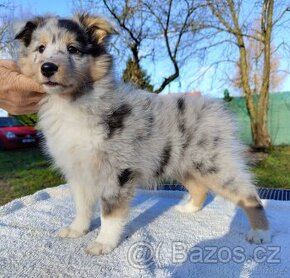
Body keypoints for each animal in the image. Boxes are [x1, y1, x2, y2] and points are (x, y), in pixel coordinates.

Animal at [14, 14, 270, 255]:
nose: (48, 68)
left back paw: (260, 232)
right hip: (183, 164)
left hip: (213, 165)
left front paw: (103, 243)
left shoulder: (116, 172)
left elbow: (109, 212)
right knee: (200, 188)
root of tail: (217, 107)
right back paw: (189, 208)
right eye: (40, 48)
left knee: (249, 194)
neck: (71, 103)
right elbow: (82, 206)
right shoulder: (77, 169)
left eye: (73, 49)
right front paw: (77, 230)